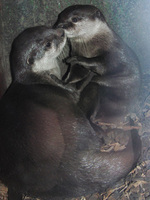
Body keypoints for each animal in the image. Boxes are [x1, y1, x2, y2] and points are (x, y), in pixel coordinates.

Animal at [0, 25, 141, 199]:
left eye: (46, 28)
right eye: (47, 44)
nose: (61, 32)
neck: (37, 78)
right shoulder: (66, 89)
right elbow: (79, 87)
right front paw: (89, 72)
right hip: (73, 119)